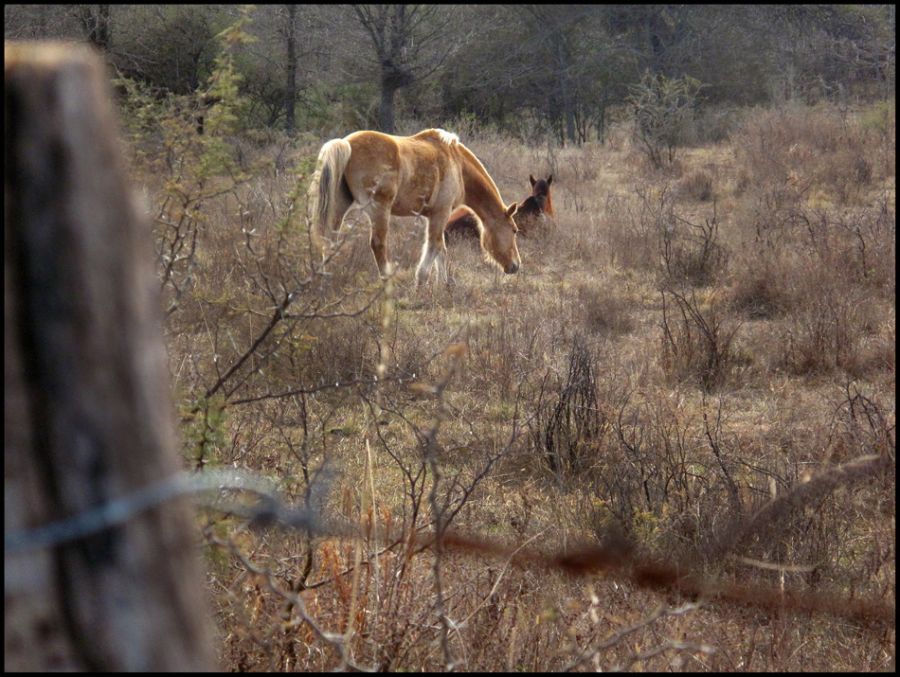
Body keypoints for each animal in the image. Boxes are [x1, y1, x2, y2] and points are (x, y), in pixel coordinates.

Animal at [312, 128, 520, 284]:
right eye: (514, 229)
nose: (516, 265)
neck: (458, 165)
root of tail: (345, 143)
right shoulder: (440, 214)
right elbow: (434, 246)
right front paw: (421, 282)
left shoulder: (435, 217)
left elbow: (441, 249)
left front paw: (443, 284)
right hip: (379, 210)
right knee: (378, 244)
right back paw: (386, 280)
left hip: (339, 208)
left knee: (329, 240)